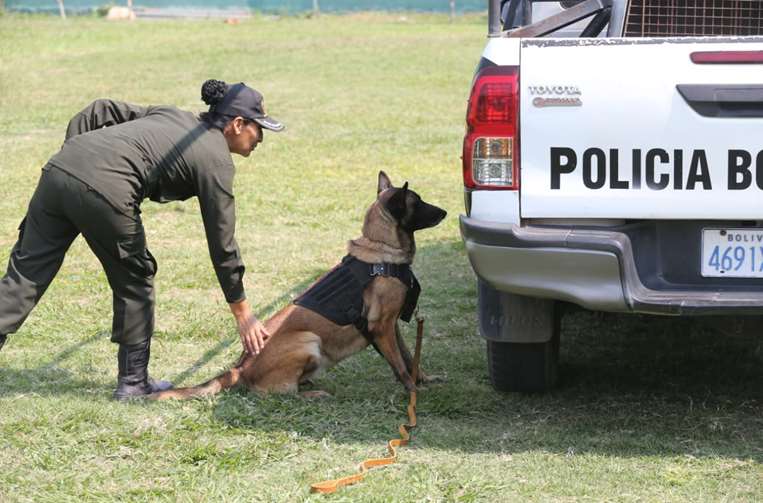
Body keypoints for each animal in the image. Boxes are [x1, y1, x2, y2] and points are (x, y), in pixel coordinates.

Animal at [151, 171, 448, 400]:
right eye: (418, 202)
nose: (445, 211)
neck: (381, 249)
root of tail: (240, 368)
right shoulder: (382, 328)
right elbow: (400, 364)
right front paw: (413, 392)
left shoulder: (391, 327)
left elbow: (408, 357)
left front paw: (423, 379)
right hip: (309, 341)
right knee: (279, 393)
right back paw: (312, 394)